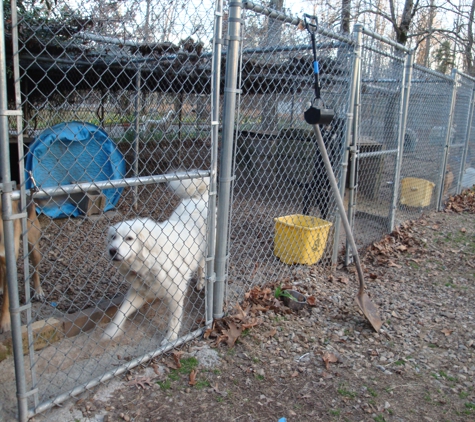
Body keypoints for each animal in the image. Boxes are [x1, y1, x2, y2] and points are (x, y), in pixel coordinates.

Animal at [103, 176, 209, 344]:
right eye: (113, 237)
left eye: (129, 238)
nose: (112, 251)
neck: (148, 261)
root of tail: (198, 197)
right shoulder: (139, 293)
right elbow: (121, 312)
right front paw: (112, 331)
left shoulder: (176, 292)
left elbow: (174, 319)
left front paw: (171, 338)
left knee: (202, 265)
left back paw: (201, 283)